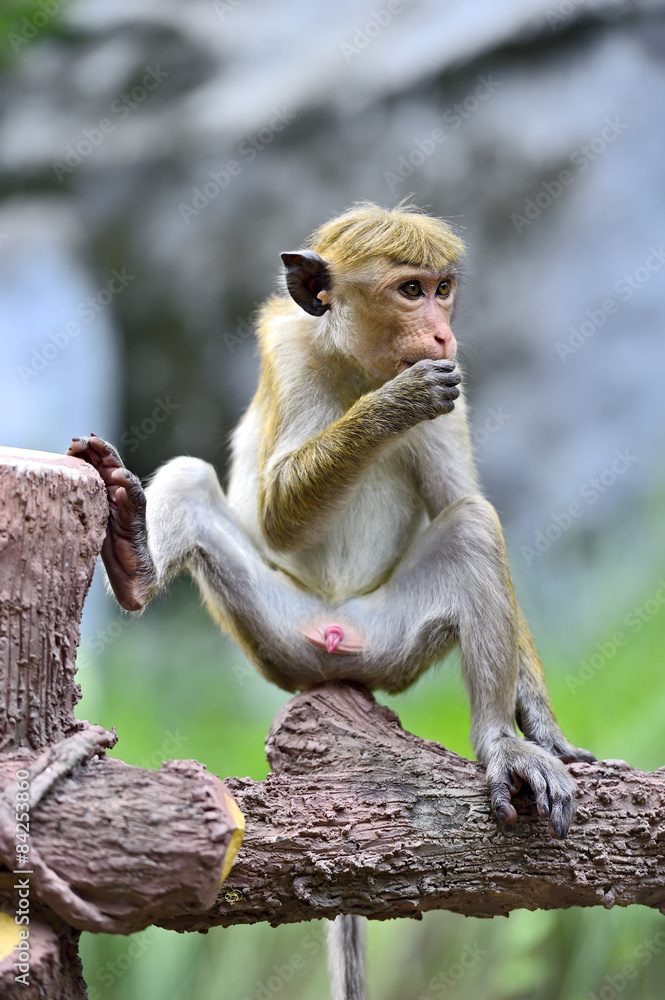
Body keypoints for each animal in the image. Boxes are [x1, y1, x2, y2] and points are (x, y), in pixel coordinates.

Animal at [68, 202, 593, 998]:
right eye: (410, 290)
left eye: (442, 288)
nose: (441, 331)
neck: (352, 365)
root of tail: (337, 649)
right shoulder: (289, 349)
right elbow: (278, 514)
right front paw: (391, 407)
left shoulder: (454, 392)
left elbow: (463, 497)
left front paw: (543, 728)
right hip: (275, 631)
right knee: (189, 477)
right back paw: (133, 557)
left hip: (392, 638)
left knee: (472, 527)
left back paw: (501, 745)